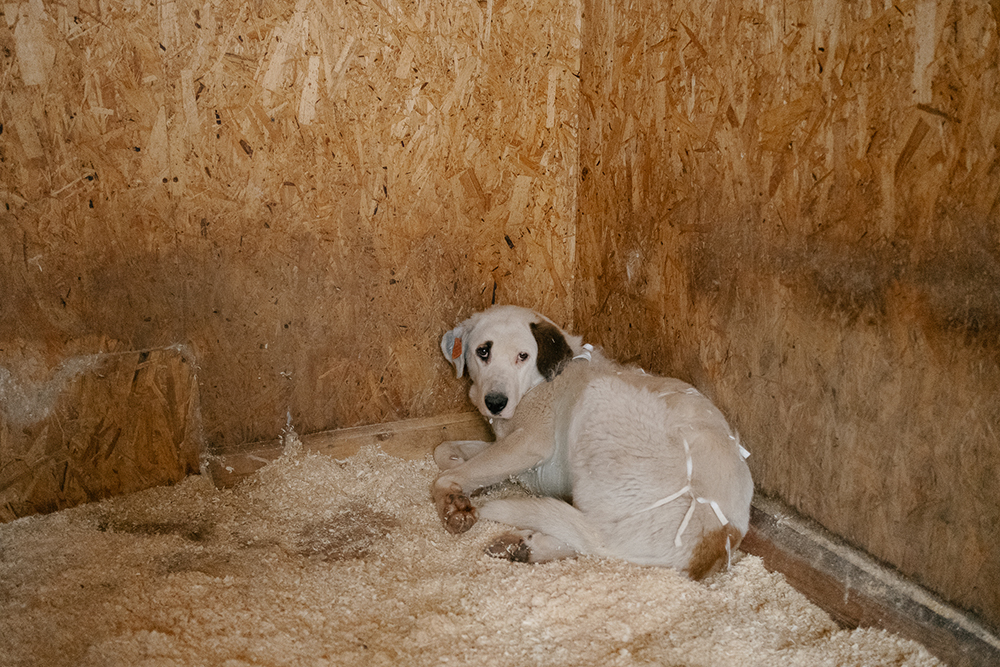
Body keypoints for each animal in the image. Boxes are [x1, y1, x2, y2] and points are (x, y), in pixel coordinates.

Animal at [430, 306, 752, 580]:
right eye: (483, 351)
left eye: (523, 356)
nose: (495, 402)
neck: (538, 383)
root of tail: (715, 539)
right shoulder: (507, 449)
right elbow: (445, 451)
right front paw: (465, 478)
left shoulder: (528, 444)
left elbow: (449, 476)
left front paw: (451, 499)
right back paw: (522, 547)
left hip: (598, 397)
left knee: (593, 538)